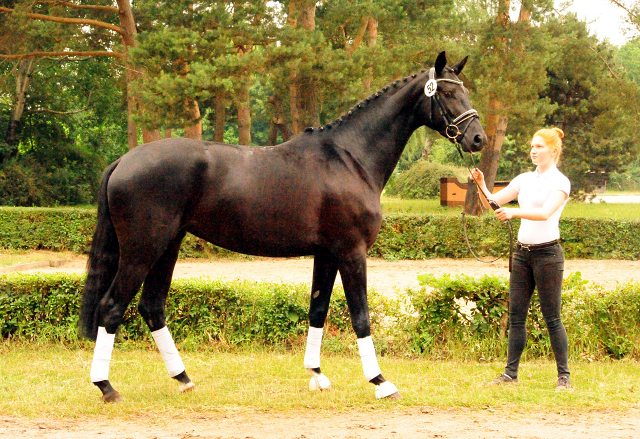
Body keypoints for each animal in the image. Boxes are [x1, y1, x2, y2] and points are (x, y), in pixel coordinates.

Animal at [81, 50, 484, 402]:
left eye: (466, 90)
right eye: (448, 92)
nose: (477, 138)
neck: (351, 158)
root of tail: (123, 161)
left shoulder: (327, 254)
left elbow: (318, 309)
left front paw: (317, 375)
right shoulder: (352, 252)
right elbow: (361, 316)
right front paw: (381, 382)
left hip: (168, 246)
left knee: (152, 306)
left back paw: (183, 379)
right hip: (142, 249)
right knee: (112, 306)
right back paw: (106, 387)